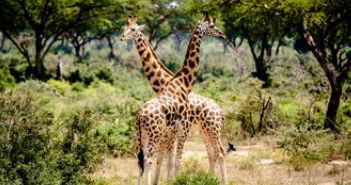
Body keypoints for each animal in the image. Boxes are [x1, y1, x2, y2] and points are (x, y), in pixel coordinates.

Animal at [121, 13, 228, 185]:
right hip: (202, 130)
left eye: (132, 29)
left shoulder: (174, 131)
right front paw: (169, 180)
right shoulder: (175, 130)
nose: (222, 34)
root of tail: (220, 111)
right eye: (212, 25)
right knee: (214, 153)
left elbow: (169, 160)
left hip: (210, 129)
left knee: (219, 152)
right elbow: (169, 160)